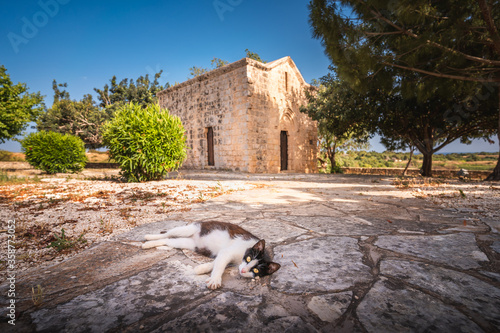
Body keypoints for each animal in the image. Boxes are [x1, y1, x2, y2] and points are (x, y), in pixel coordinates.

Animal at [143, 220, 280, 288]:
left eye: (256, 270)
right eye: (248, 258)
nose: (243, 271)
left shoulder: (227, 255)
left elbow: (216, 262)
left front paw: (202, 268)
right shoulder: (229, 251)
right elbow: (220, 264)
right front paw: (215, 279)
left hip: (191, 244)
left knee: (170, 241)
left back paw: (154, 244)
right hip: (191, 228)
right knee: (168, 234)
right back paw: (148, 238)